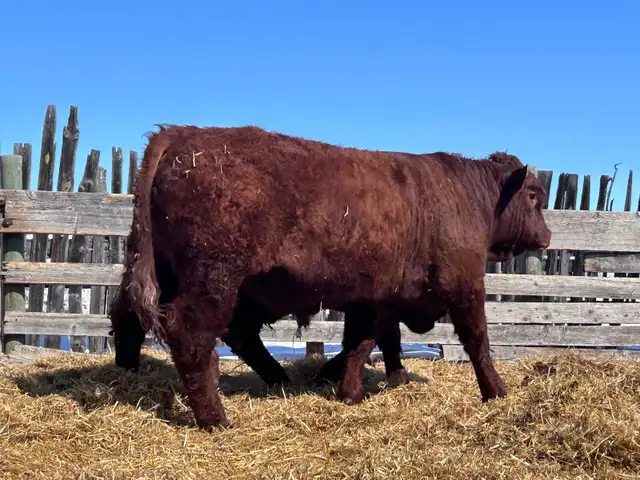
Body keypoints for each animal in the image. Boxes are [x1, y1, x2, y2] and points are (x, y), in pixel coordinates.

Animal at [109, 125, 551, 430]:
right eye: (533, 196)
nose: (546, 235)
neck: (466, 195)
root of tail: (181, 133)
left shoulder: (376, 298)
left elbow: (365, 342)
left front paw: (354, 386)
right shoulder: (464, 286)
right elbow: (477, 341)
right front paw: (496, 391)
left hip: (164, 271)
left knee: (130, 316)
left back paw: (129, 379)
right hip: (214, 280)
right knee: (195, 335)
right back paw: (216, 418)